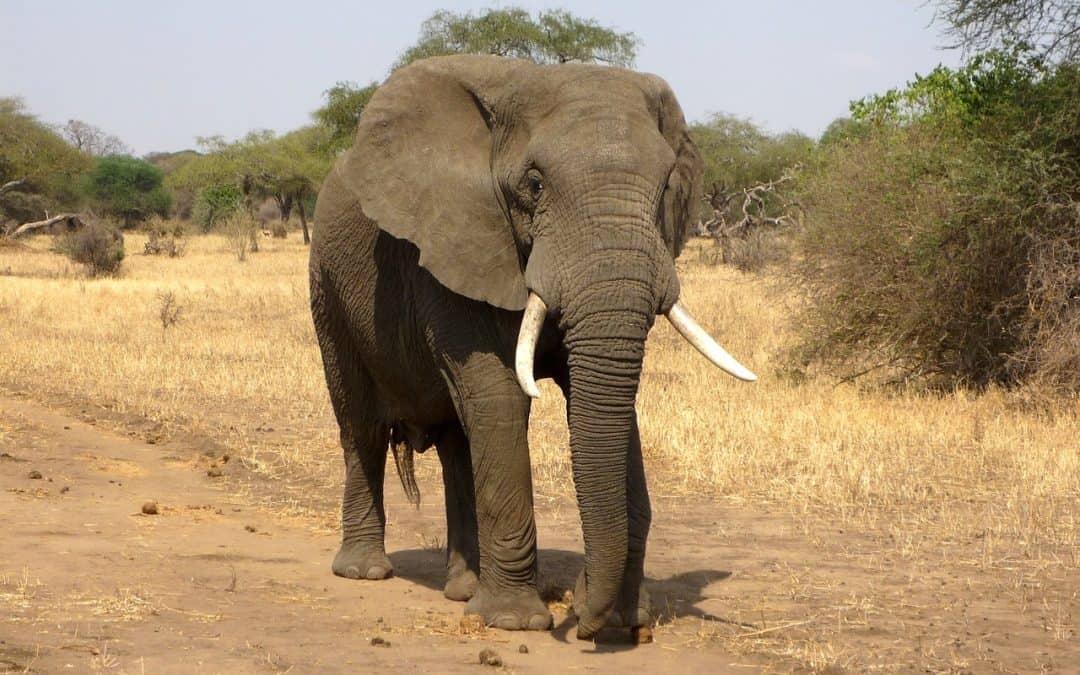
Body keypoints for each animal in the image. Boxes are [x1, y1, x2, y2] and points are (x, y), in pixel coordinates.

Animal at [308, 55, 756, 639]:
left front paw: (623, 620)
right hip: (327, 285)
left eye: (664, 188)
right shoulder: (456, 244)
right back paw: (365, 572)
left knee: (457, 440)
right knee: (360, 424)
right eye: (535, 183)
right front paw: (514, 623)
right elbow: (501, 397)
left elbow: (607, 404)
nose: (583, 619)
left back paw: (463, 589)